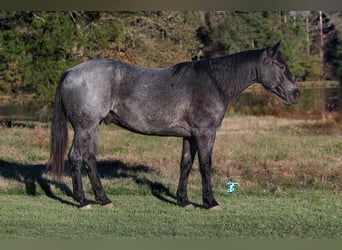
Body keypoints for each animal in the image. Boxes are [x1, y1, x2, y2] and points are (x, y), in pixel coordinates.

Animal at [48, 42, 300, 210]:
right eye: (279, 65)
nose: (296, 94)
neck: (214, 82)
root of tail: (71, 72)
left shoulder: (190, 136)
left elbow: (186, 165)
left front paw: (184, 200)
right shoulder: (206, 133)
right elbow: (206, 165)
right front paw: (210, 202)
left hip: (94, 127)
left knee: (90, 159)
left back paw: (104, 199)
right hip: (85, 127)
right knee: (76, 157)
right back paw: (82, 201)